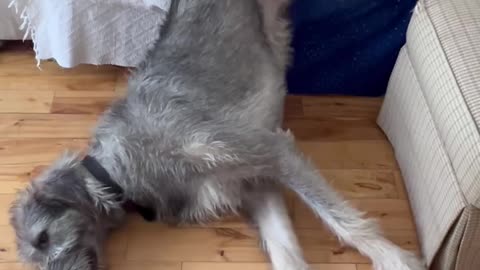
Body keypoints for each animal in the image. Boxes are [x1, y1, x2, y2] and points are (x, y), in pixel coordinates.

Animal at [10, 0, 424, 270]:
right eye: (34, 259)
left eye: (44, 238)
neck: (122, 171)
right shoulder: (253, 185)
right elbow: (284, 249)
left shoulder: (268, 150)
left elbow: (344, 222)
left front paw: (395, 258)